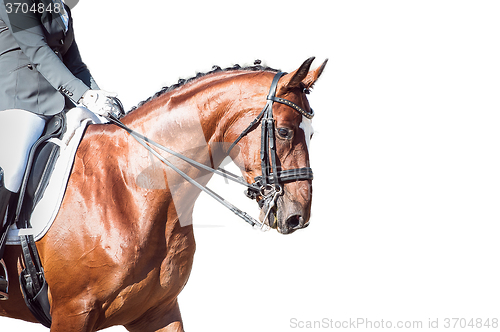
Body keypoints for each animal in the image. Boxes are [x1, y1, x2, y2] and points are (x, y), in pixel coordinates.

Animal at [0, 57, 328, 330]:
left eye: (313, 134)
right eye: (284, 131)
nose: (298, 216)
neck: (130, 186)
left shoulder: (158, 311)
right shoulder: (73, 312)